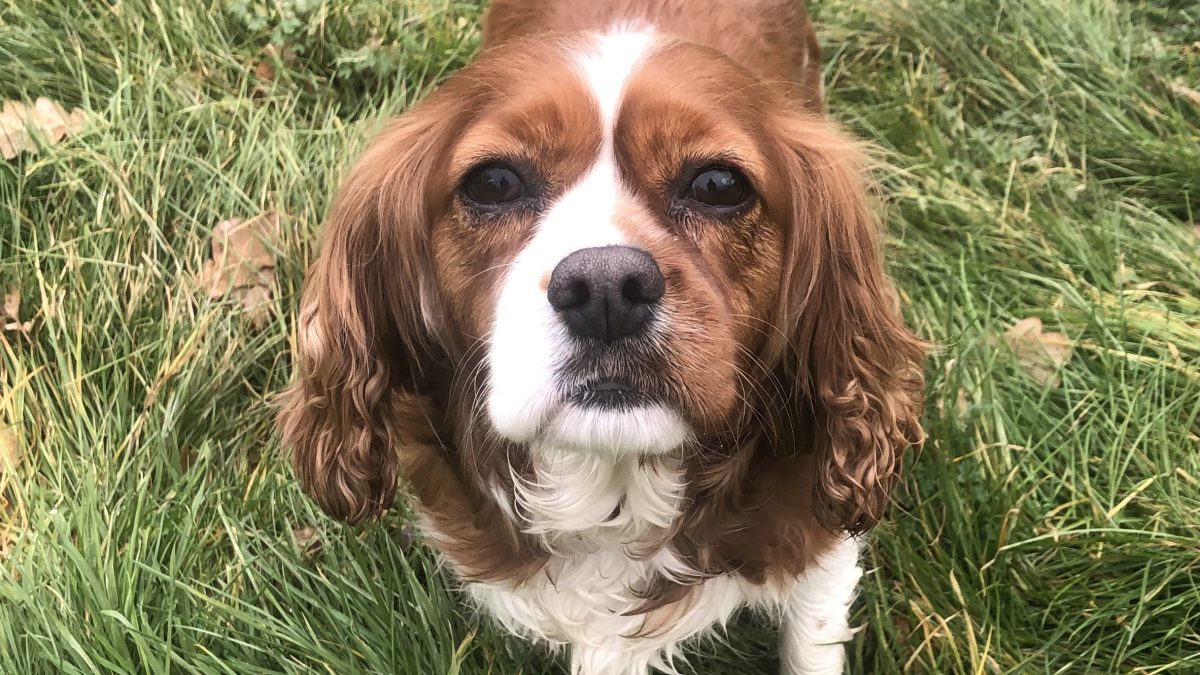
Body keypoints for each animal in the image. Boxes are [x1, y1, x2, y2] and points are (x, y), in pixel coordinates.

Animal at [280, 2, 926, 667]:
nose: (607, 288)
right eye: (494, 183)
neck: (614, 489)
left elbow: (811, 644)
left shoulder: (821, 546)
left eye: (718, 185)